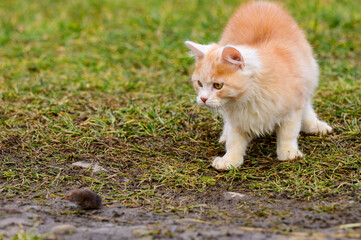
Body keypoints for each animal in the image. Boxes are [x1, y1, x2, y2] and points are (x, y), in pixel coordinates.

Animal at [186, 0, 332, 170]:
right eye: (199, 83)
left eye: (217, 85)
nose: (203, 99)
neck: (250, 96)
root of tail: (259, 2)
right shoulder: (236, 118)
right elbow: (234, 140)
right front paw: (230, 160)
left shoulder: (293, 105)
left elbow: (288, 133)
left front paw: (288, 152)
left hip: (309, 75)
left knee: (307, 106)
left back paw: (314, 125)